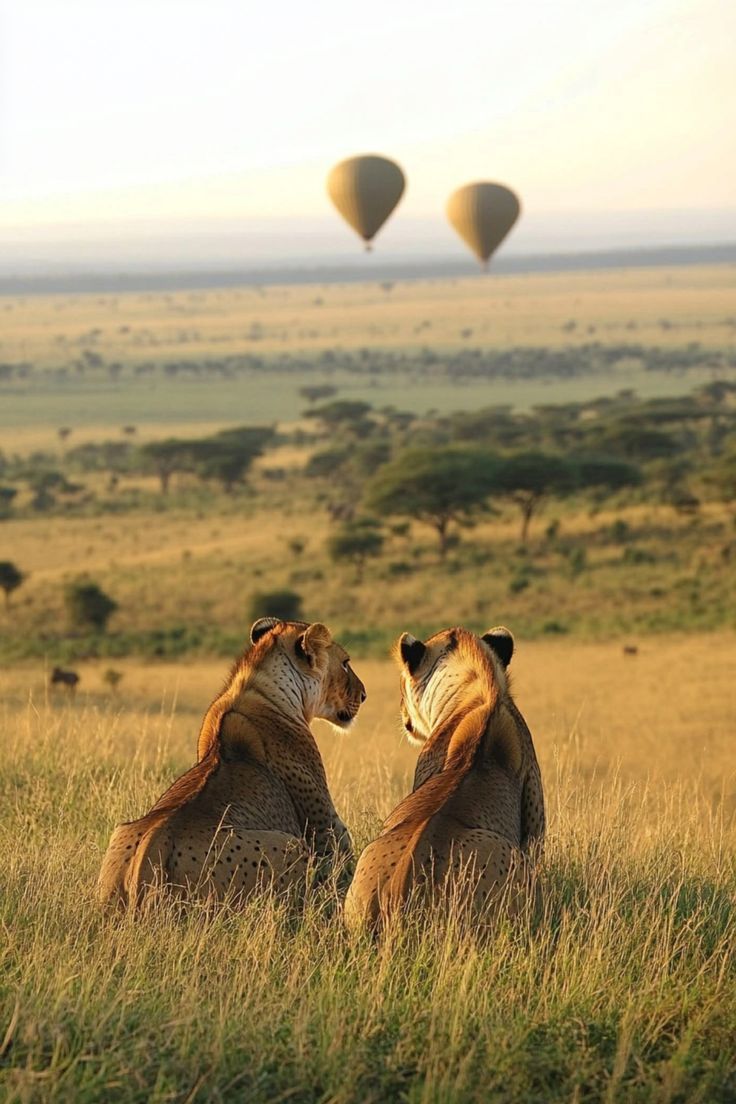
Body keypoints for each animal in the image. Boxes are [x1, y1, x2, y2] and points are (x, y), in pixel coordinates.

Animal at [96, 618, 366, 909]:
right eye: (345, 663)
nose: (364, 695)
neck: (261, 686)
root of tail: (149, 856)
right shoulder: (327, 829)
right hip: (290, 845)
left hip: (119, 833)